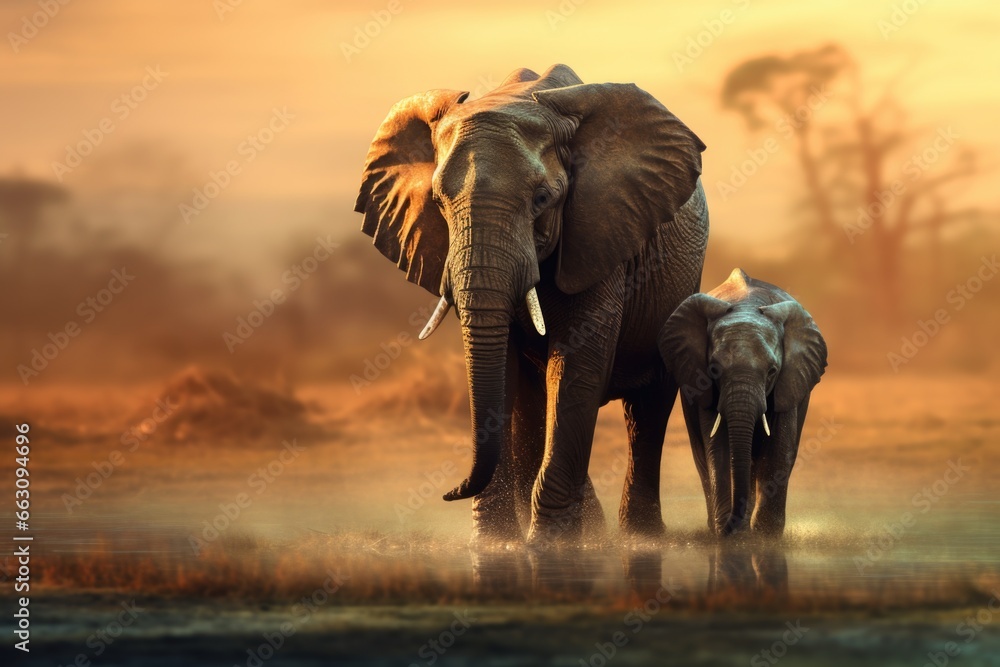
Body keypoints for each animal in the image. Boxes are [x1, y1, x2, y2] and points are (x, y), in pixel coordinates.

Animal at [355, 64, 709, 546]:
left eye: (542, 199)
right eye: (439, 203)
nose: (450, 492)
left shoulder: (598, 232)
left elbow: (576, 368)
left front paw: (552, 546)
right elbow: (503, 369)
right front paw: (496, 546)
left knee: (647, 409)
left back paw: (639, 536)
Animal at [658, 268, 827, 537]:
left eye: (772, 371)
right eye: (714, 369)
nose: (730, 528)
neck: (746, 306)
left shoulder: (789, 381)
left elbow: (780, 448)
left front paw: (766, 537)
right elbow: (717, 449)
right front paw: (729, 534)